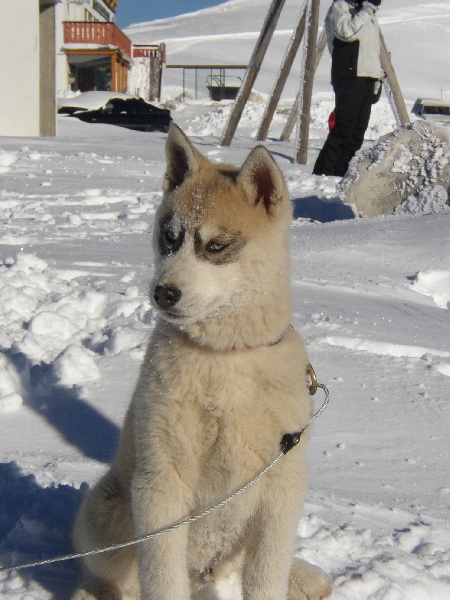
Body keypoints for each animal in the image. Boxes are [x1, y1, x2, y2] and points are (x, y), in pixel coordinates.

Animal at [70, 123, 330, 600]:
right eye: (169, 236)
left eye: (216, 245)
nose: (163, 292)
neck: (225, 356)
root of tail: (203, 574)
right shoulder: (162, 479)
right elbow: (161, 576)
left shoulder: (281, 483)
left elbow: (266, 575)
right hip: (106, 511)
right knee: (112, 574)